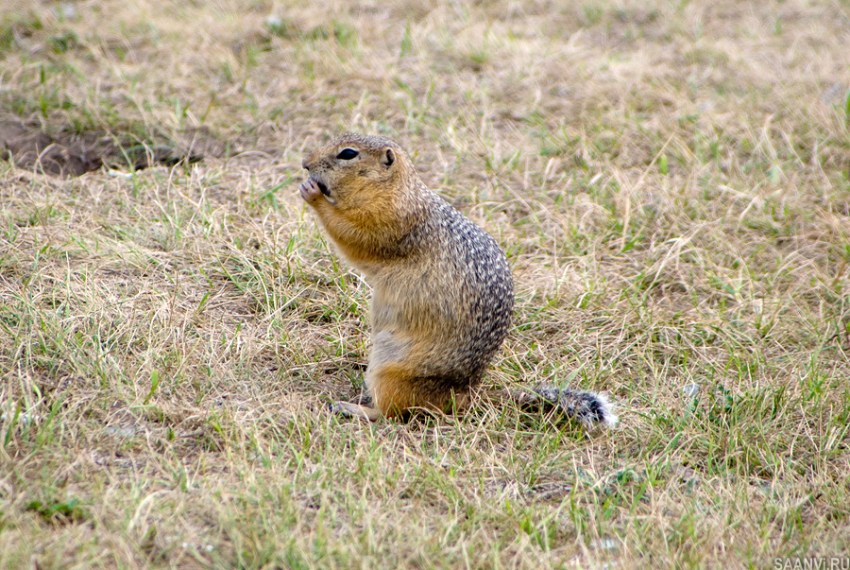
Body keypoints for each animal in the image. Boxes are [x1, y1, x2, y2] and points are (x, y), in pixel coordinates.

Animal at [298, 134, 616, 426]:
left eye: (348, 154)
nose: (305, 164)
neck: (394, 189)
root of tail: (466, 395)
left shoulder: (390, 221)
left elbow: (353, 236)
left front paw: (313, 193)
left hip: (389, 374)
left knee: (394, 413)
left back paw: (354, 409)